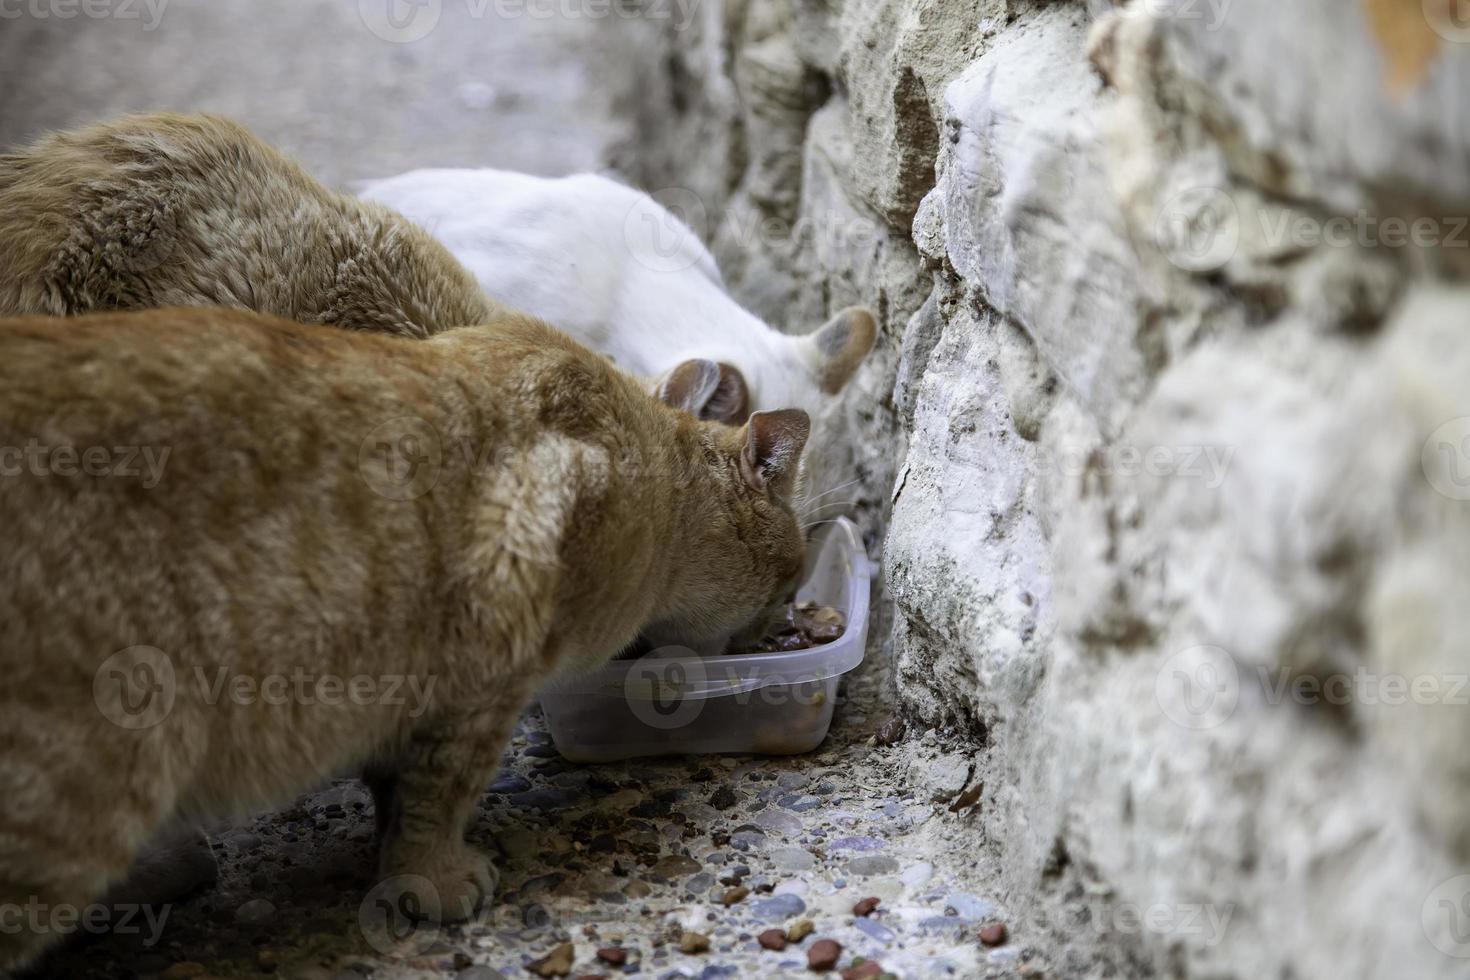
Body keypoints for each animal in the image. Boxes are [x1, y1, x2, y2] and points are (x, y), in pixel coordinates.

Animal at [0, 308, 811, 975]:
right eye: (790, 580)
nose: (781, 625)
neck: (656, 488)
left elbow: (395, 787)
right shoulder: (485, 677)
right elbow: (441, 791)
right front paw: (436, 878)